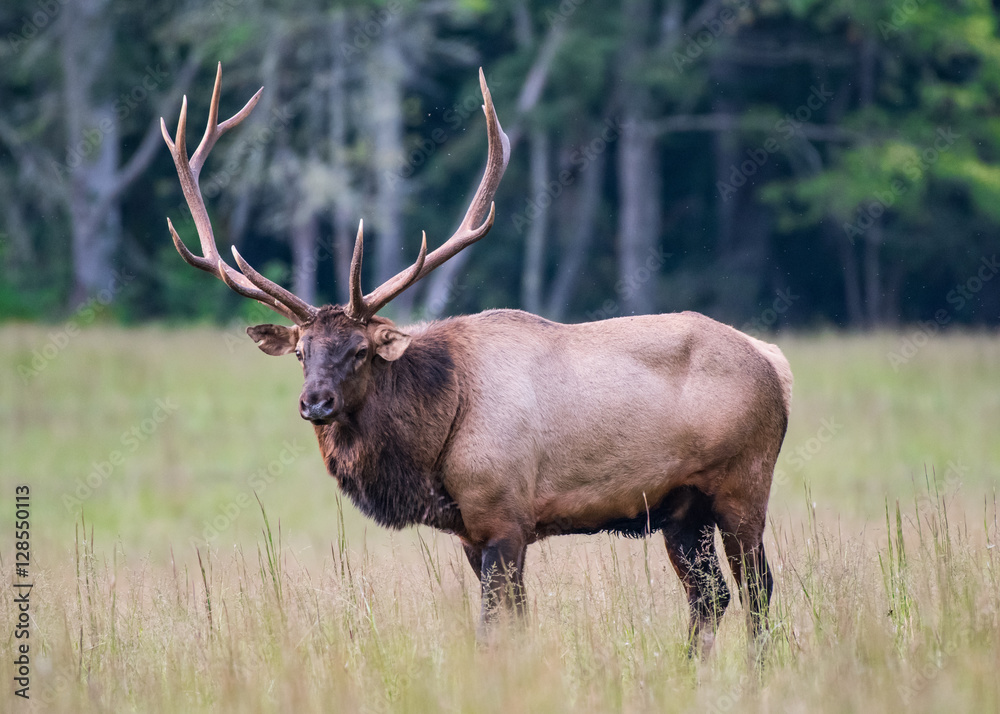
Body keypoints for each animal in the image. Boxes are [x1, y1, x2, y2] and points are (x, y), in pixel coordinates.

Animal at [162, 63, 793, 656]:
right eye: (300, 351)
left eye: (361, 351)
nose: (315, 403)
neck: (433, 441)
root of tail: (775, 362)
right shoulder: (471, 532)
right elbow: (515, 623)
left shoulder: (505, 516)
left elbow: (493, 628)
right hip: (682, 510)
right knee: (710, 597)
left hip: (744, 484)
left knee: (759, 591)